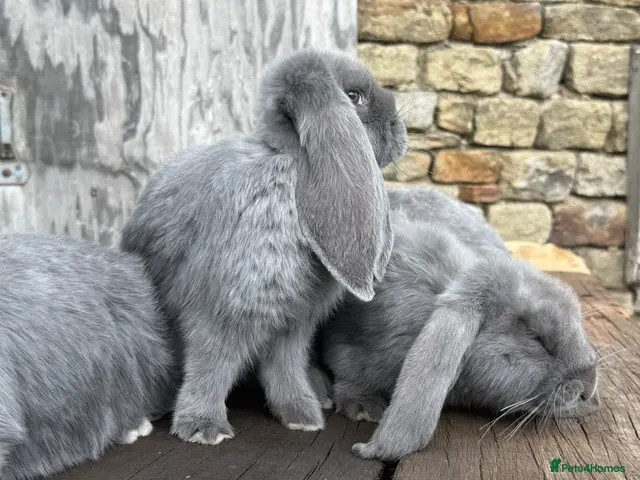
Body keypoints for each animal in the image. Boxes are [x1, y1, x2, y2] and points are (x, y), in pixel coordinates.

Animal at [119, 49, 408, 446]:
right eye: (354, 97)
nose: (399, 128)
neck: (290, 175)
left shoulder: (293, 325)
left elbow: (284, 371)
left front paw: (303, 417)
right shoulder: (221, 314)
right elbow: (210, 368)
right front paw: (202, 428)